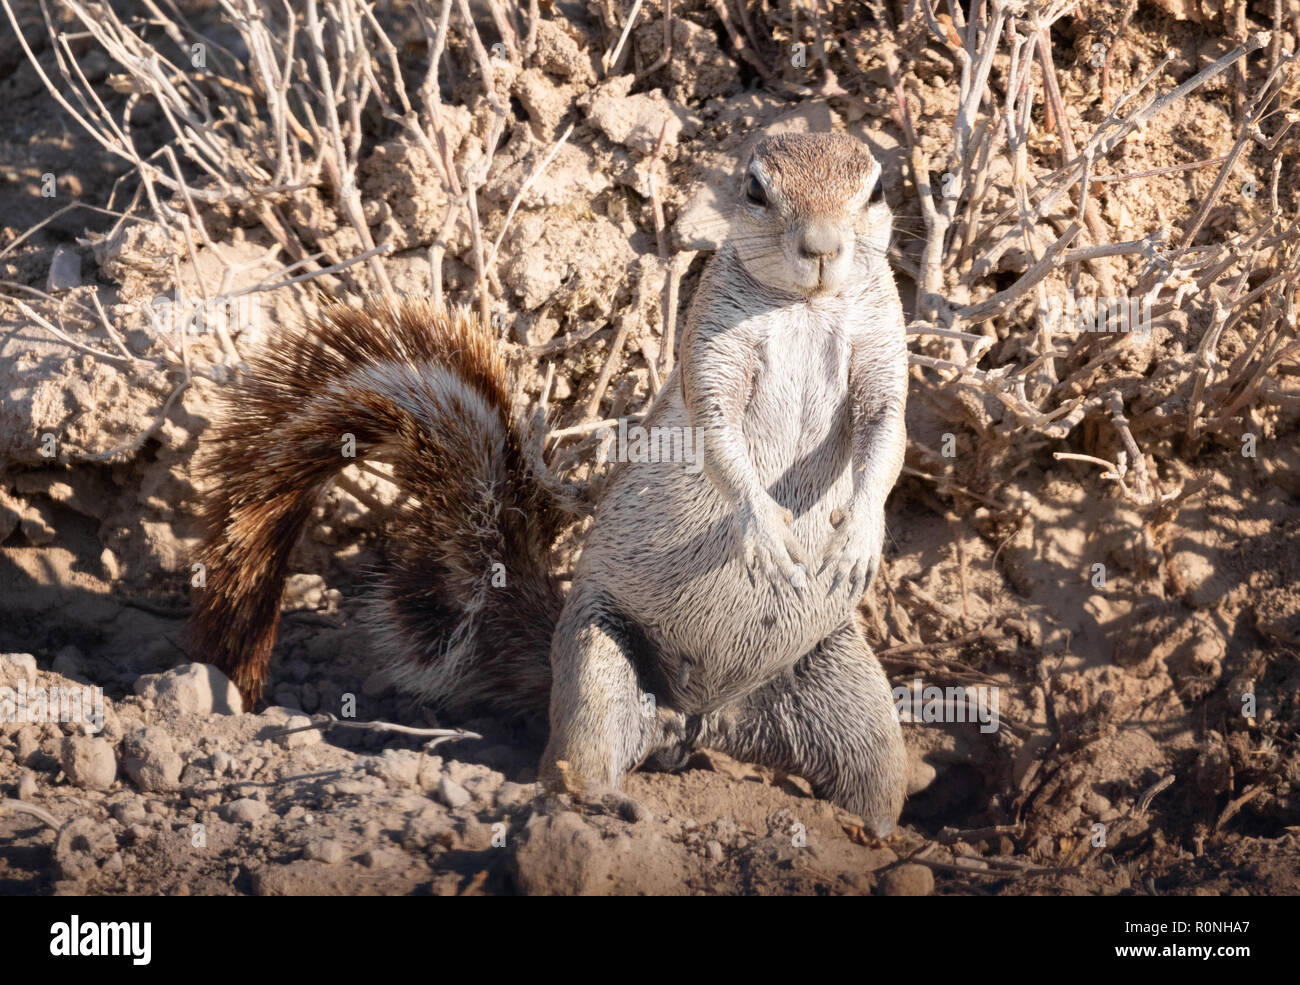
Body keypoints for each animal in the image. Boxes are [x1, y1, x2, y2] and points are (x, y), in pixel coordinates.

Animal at [192, 127, 909, 831]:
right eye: (756, 190)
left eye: (876, 189)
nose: (822, 247)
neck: (806, 306)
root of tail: (700, 718)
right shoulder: (710, 356)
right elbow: (720, 437)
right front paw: (764, 528)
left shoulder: (883, 359)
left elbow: (885, 437)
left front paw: (859, 537)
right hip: (599, 660)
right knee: (569, 762)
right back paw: (601, 800)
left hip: (848, 694)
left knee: (874, 772)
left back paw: (869, 831)